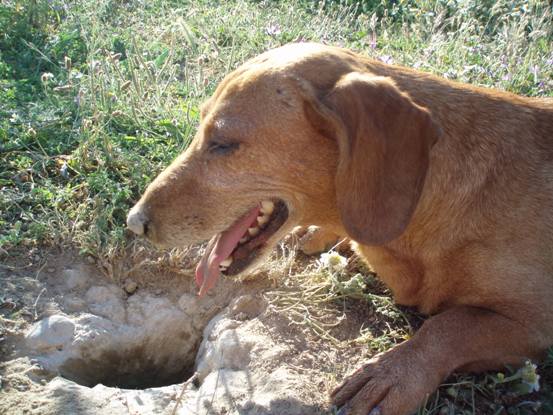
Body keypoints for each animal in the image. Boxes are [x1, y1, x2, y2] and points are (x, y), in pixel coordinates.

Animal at [126, 44, 552, 414]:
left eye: (224, 143)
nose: (134, 222)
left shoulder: (535, 324)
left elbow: (450, 325)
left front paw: (393, 373)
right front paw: (323, 234)